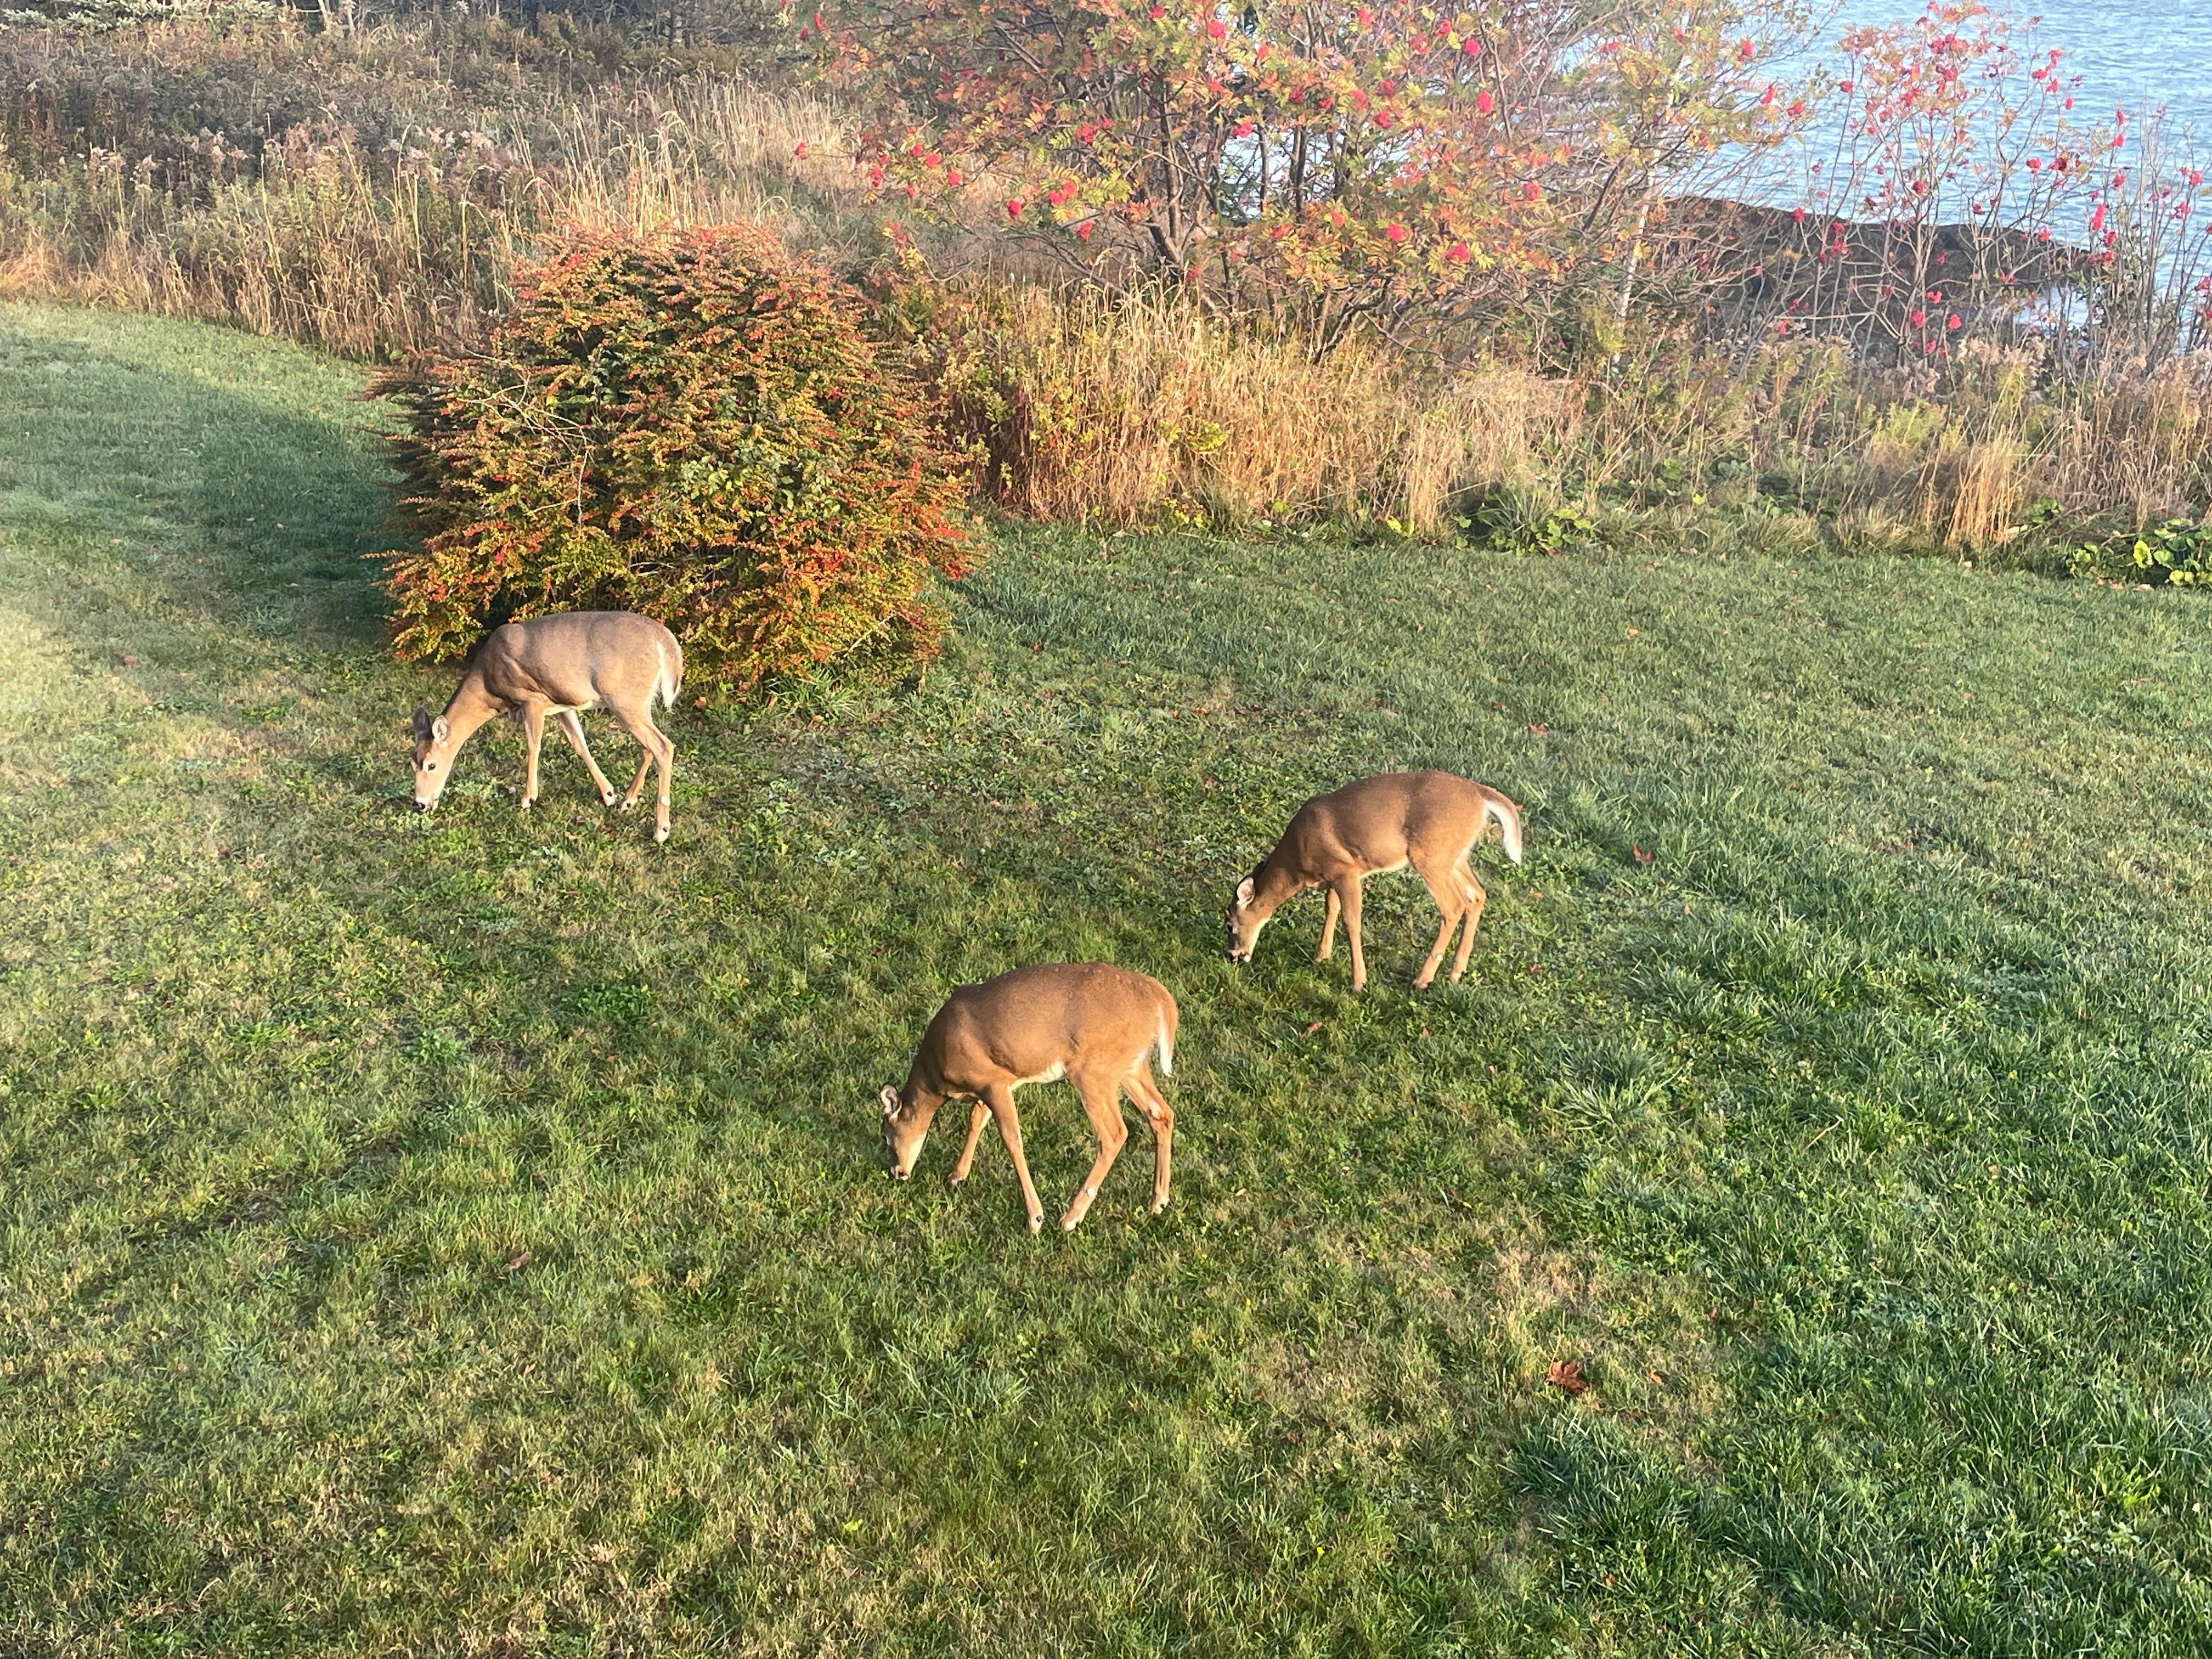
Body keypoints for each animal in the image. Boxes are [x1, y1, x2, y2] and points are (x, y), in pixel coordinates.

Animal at [408, 611, 683, 842]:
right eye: (411, 764)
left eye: (431, 765)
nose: (419, 804)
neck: (489, 687)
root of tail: (665, 640)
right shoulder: (563, 705)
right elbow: (579, 743)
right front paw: (609, 794)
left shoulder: (534, 699)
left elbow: (533, 744)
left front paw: (528, 797)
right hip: (636, 704)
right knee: (648, 747)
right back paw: (628, 801)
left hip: (625, 698)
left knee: (663, 746)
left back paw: (661, 829)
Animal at [880, 963, 1179, 1234]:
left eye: (885, 1136)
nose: (897, 1172)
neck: (937, 1075)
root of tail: (1160, 999)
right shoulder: (1000, 1082)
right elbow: (977, 1118)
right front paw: (956, 1176)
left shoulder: (991, 1080)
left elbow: (1011, 1139)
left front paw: (1035, 1218)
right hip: (1131, 1066)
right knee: (1161, 1113)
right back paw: (1158, 1202)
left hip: (1094, 1069)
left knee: (1114, 1133)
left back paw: (1071, 1218)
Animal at [1225, 770, 1523, 993]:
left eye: (1230, 926)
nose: (1233, 956)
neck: (1297, 863)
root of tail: (1480, 794)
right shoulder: (1336, 876)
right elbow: (1331, 909)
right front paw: (1321, 955)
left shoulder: (1346, 870)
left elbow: (1351, 921)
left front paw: (1358, 982)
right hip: (1454, 856)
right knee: (1477, 895)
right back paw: (1455, 972)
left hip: (1431, 856)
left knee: (1453, 906)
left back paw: (1423, 980)